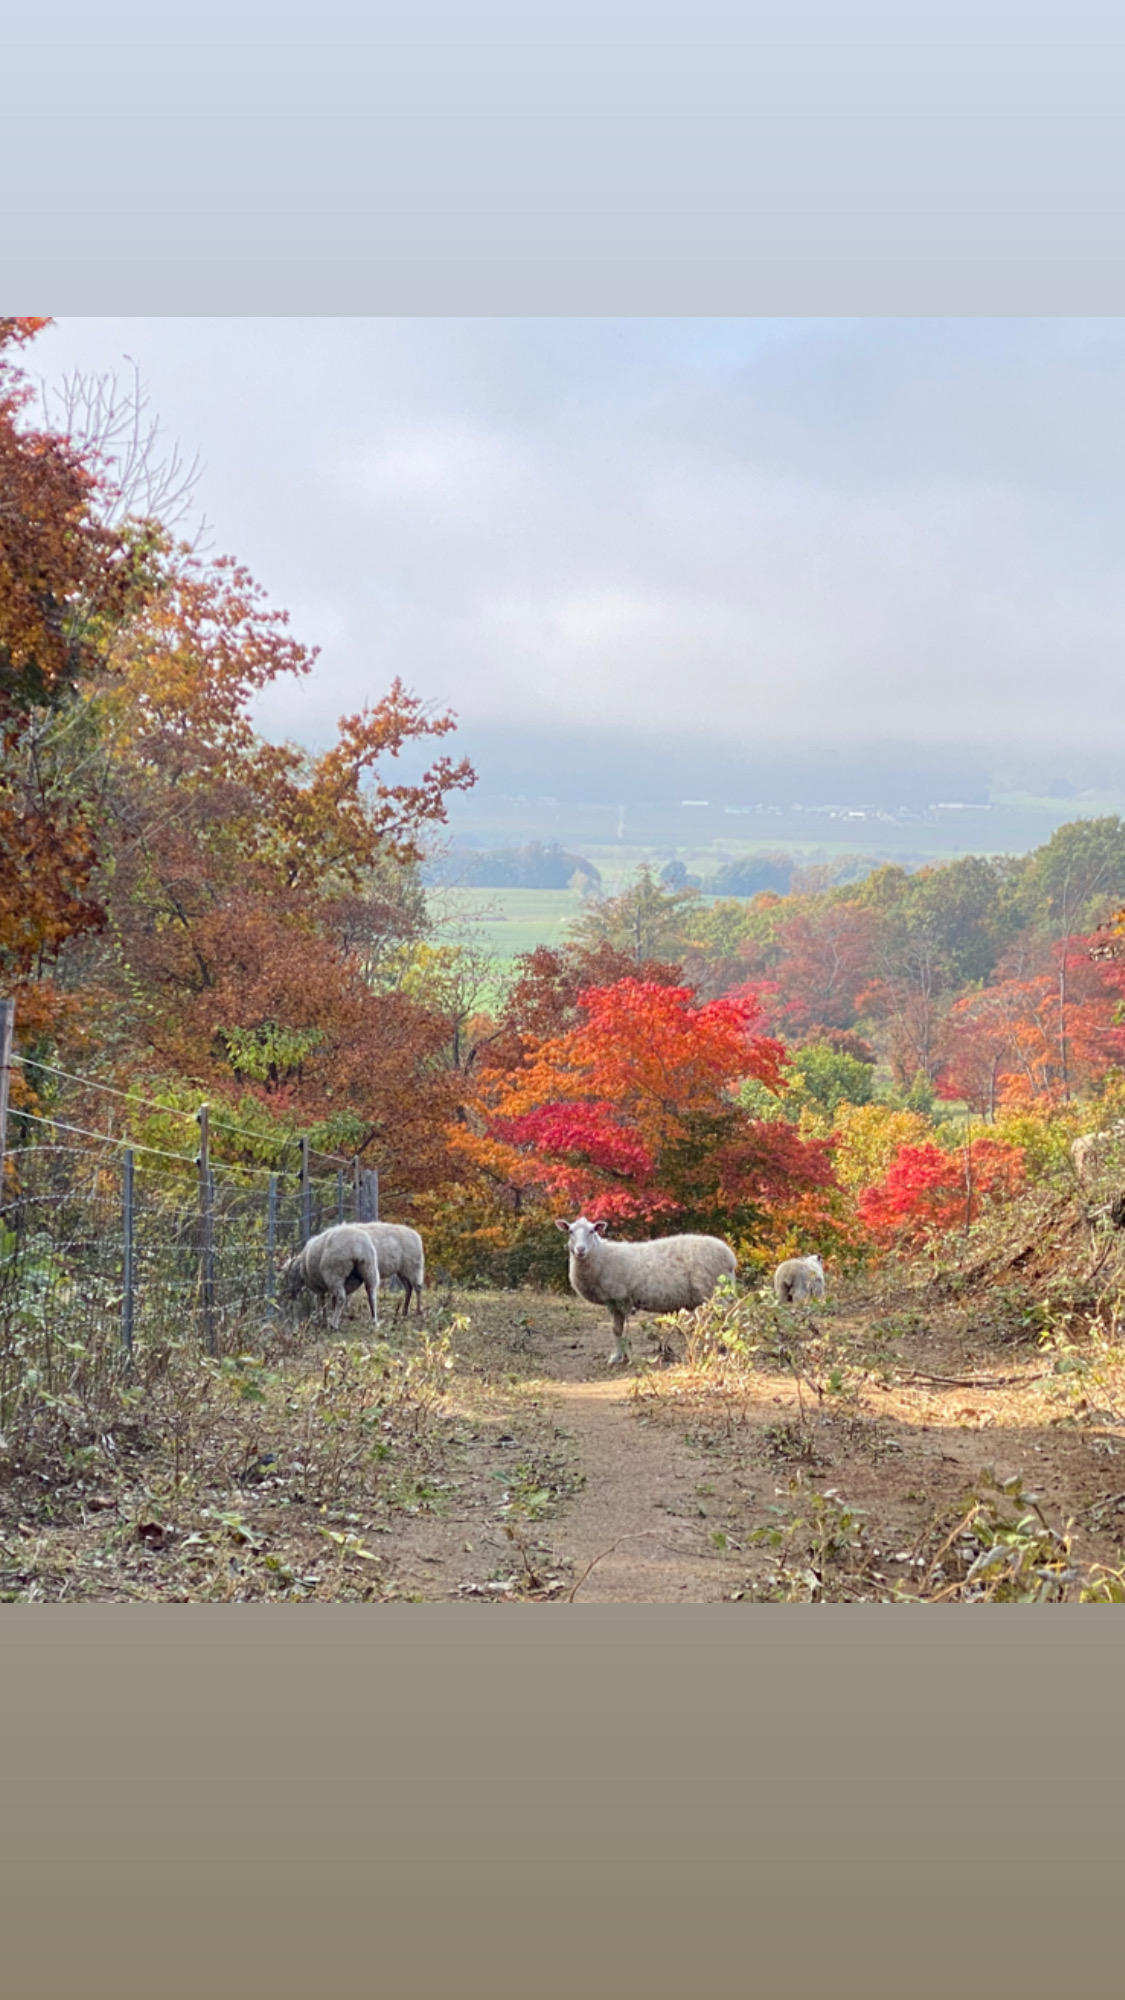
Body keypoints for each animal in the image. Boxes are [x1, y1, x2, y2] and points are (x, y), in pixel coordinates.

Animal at [552, 1208, 736, 1368]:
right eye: (570, 1232)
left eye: (592, 1231)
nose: (580, 1249)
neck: (601, 1256)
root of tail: (730, 1257)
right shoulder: (611, 1301)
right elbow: (616, 1329)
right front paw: (616, 1357)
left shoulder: (622, 1298)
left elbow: (623, 1329)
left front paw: (627, 1356)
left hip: (715, 1292)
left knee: (725, 1321)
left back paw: (724, 1352)